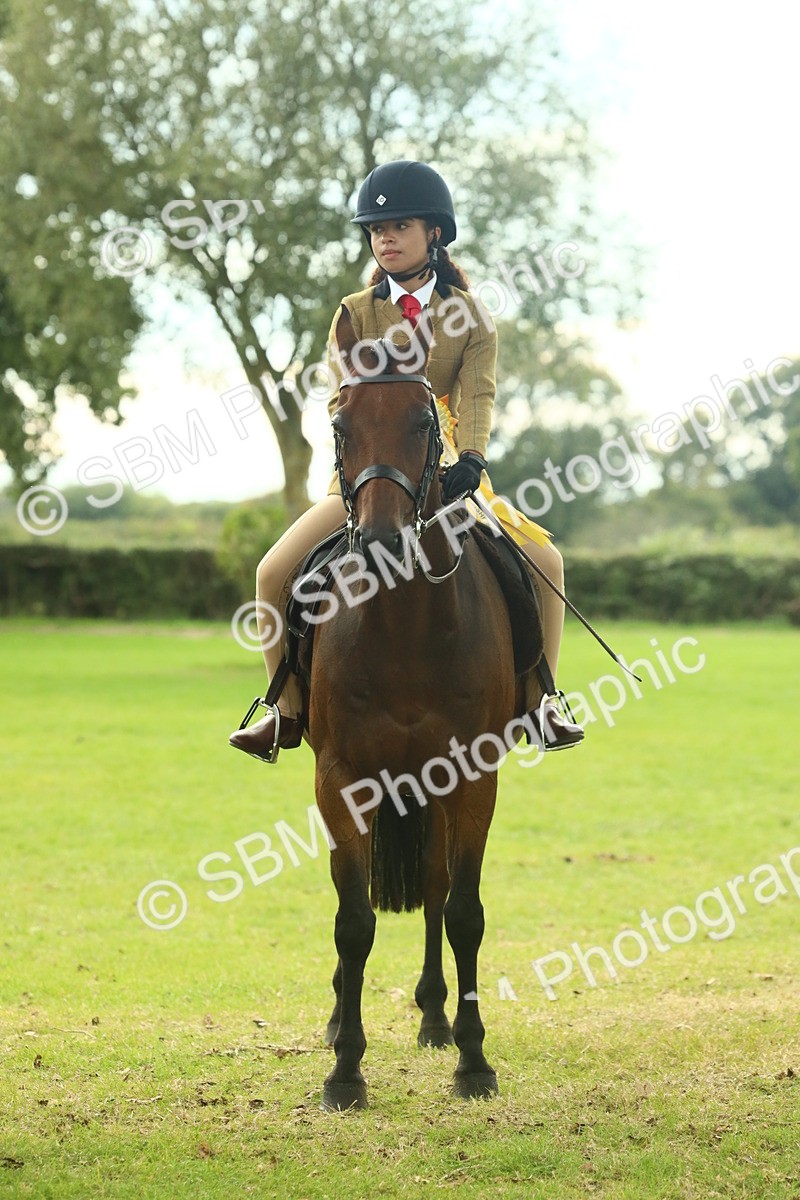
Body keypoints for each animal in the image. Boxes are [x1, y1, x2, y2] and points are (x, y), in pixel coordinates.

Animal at [302, 304, 536, 1110]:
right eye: (339, 424)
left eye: (423, 423)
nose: (378, 542)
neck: (402, 621)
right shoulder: (340, 776)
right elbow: (351, 921)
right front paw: (345, 1070)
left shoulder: (472, 774)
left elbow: (463, 910)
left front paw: (474, 1060)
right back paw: (341, 1019)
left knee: (435, 888)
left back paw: (436, 1018)